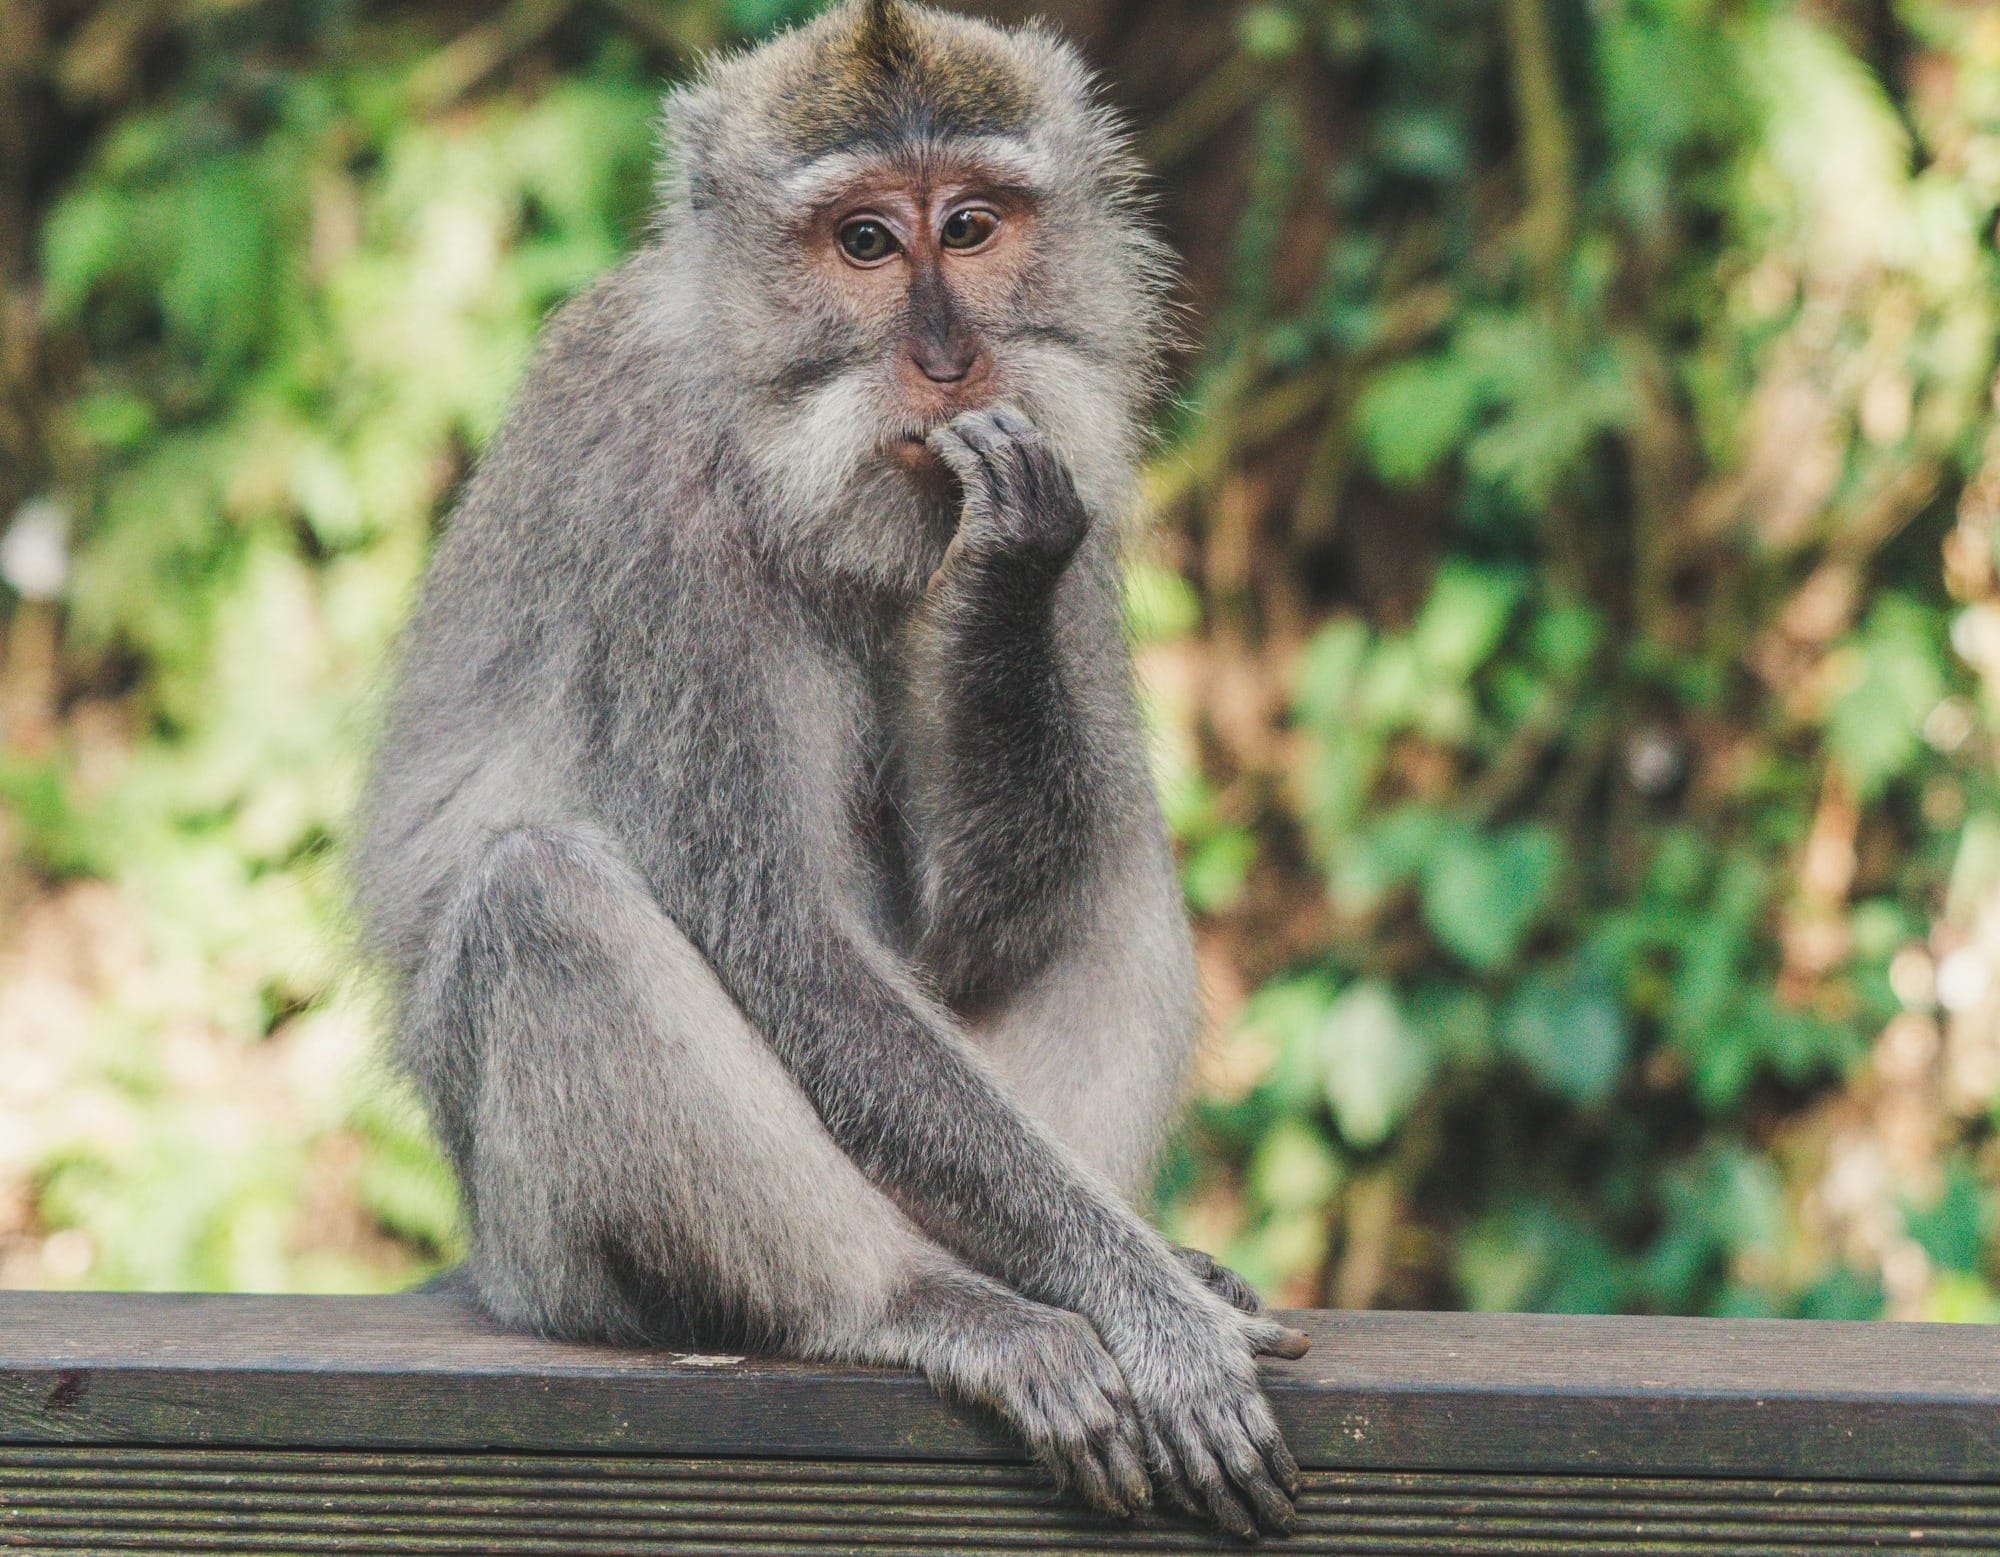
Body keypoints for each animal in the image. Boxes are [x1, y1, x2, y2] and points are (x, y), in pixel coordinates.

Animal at [351, 0, 1307, 1538]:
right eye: (863, 241)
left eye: (969, 226)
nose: (949, 359)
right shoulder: (664, 517)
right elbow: (785, 939)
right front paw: (1148, 1316)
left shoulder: (1083, 470)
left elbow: (973, 929)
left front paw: (1000, 565)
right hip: (549, 1260)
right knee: (543, 899)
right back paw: (930, 1301)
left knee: (1110, 859)